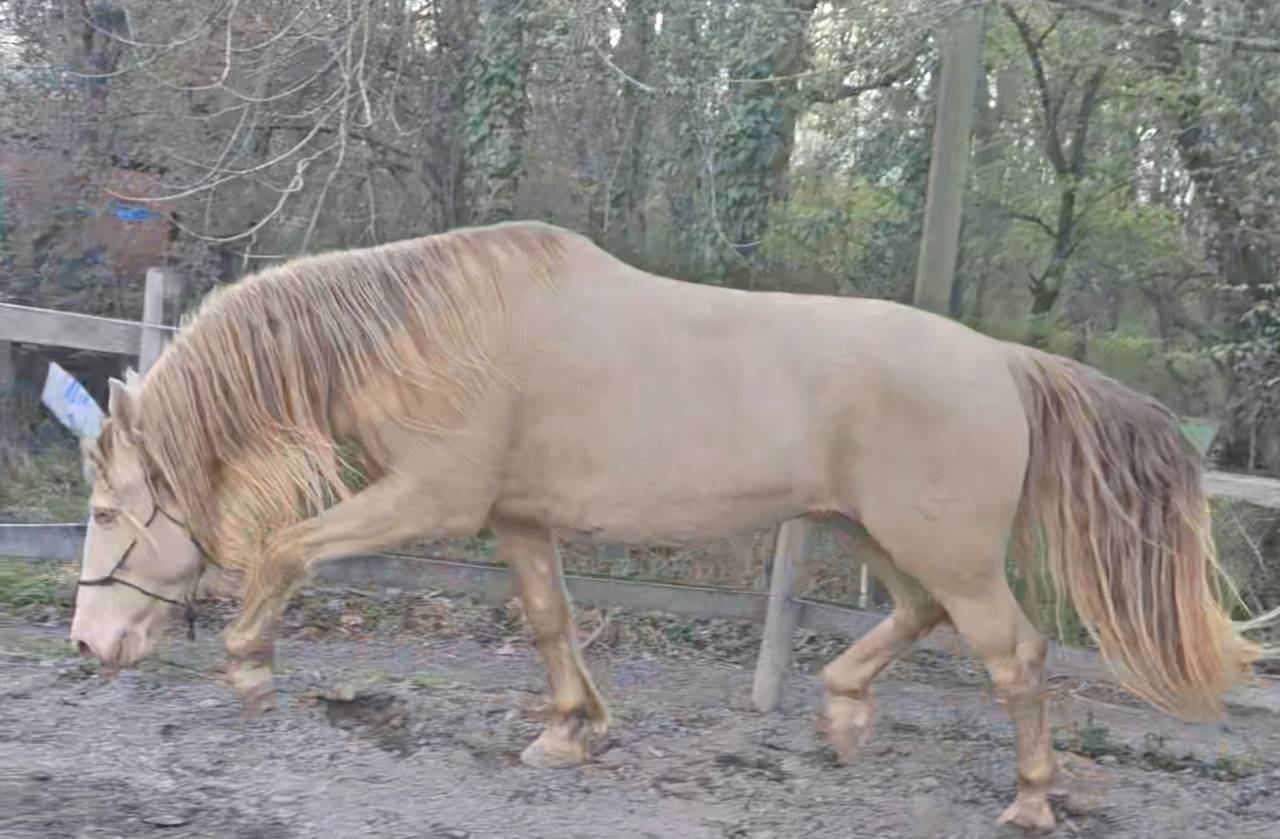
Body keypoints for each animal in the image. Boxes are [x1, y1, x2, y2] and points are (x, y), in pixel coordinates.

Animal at [71, 220, 1261, 831]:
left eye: (105, 508)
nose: (90, 642)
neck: (430, 333)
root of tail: (1006, 363)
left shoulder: (431, 499)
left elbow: (285, 549)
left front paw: (248, 667)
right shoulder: (515, 517)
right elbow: (552, 621)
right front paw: (571, 732)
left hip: (946, 550)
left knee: (1014, 653)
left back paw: (1029, 798)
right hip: (881, 534)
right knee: (921, 618)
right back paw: (840, 715)